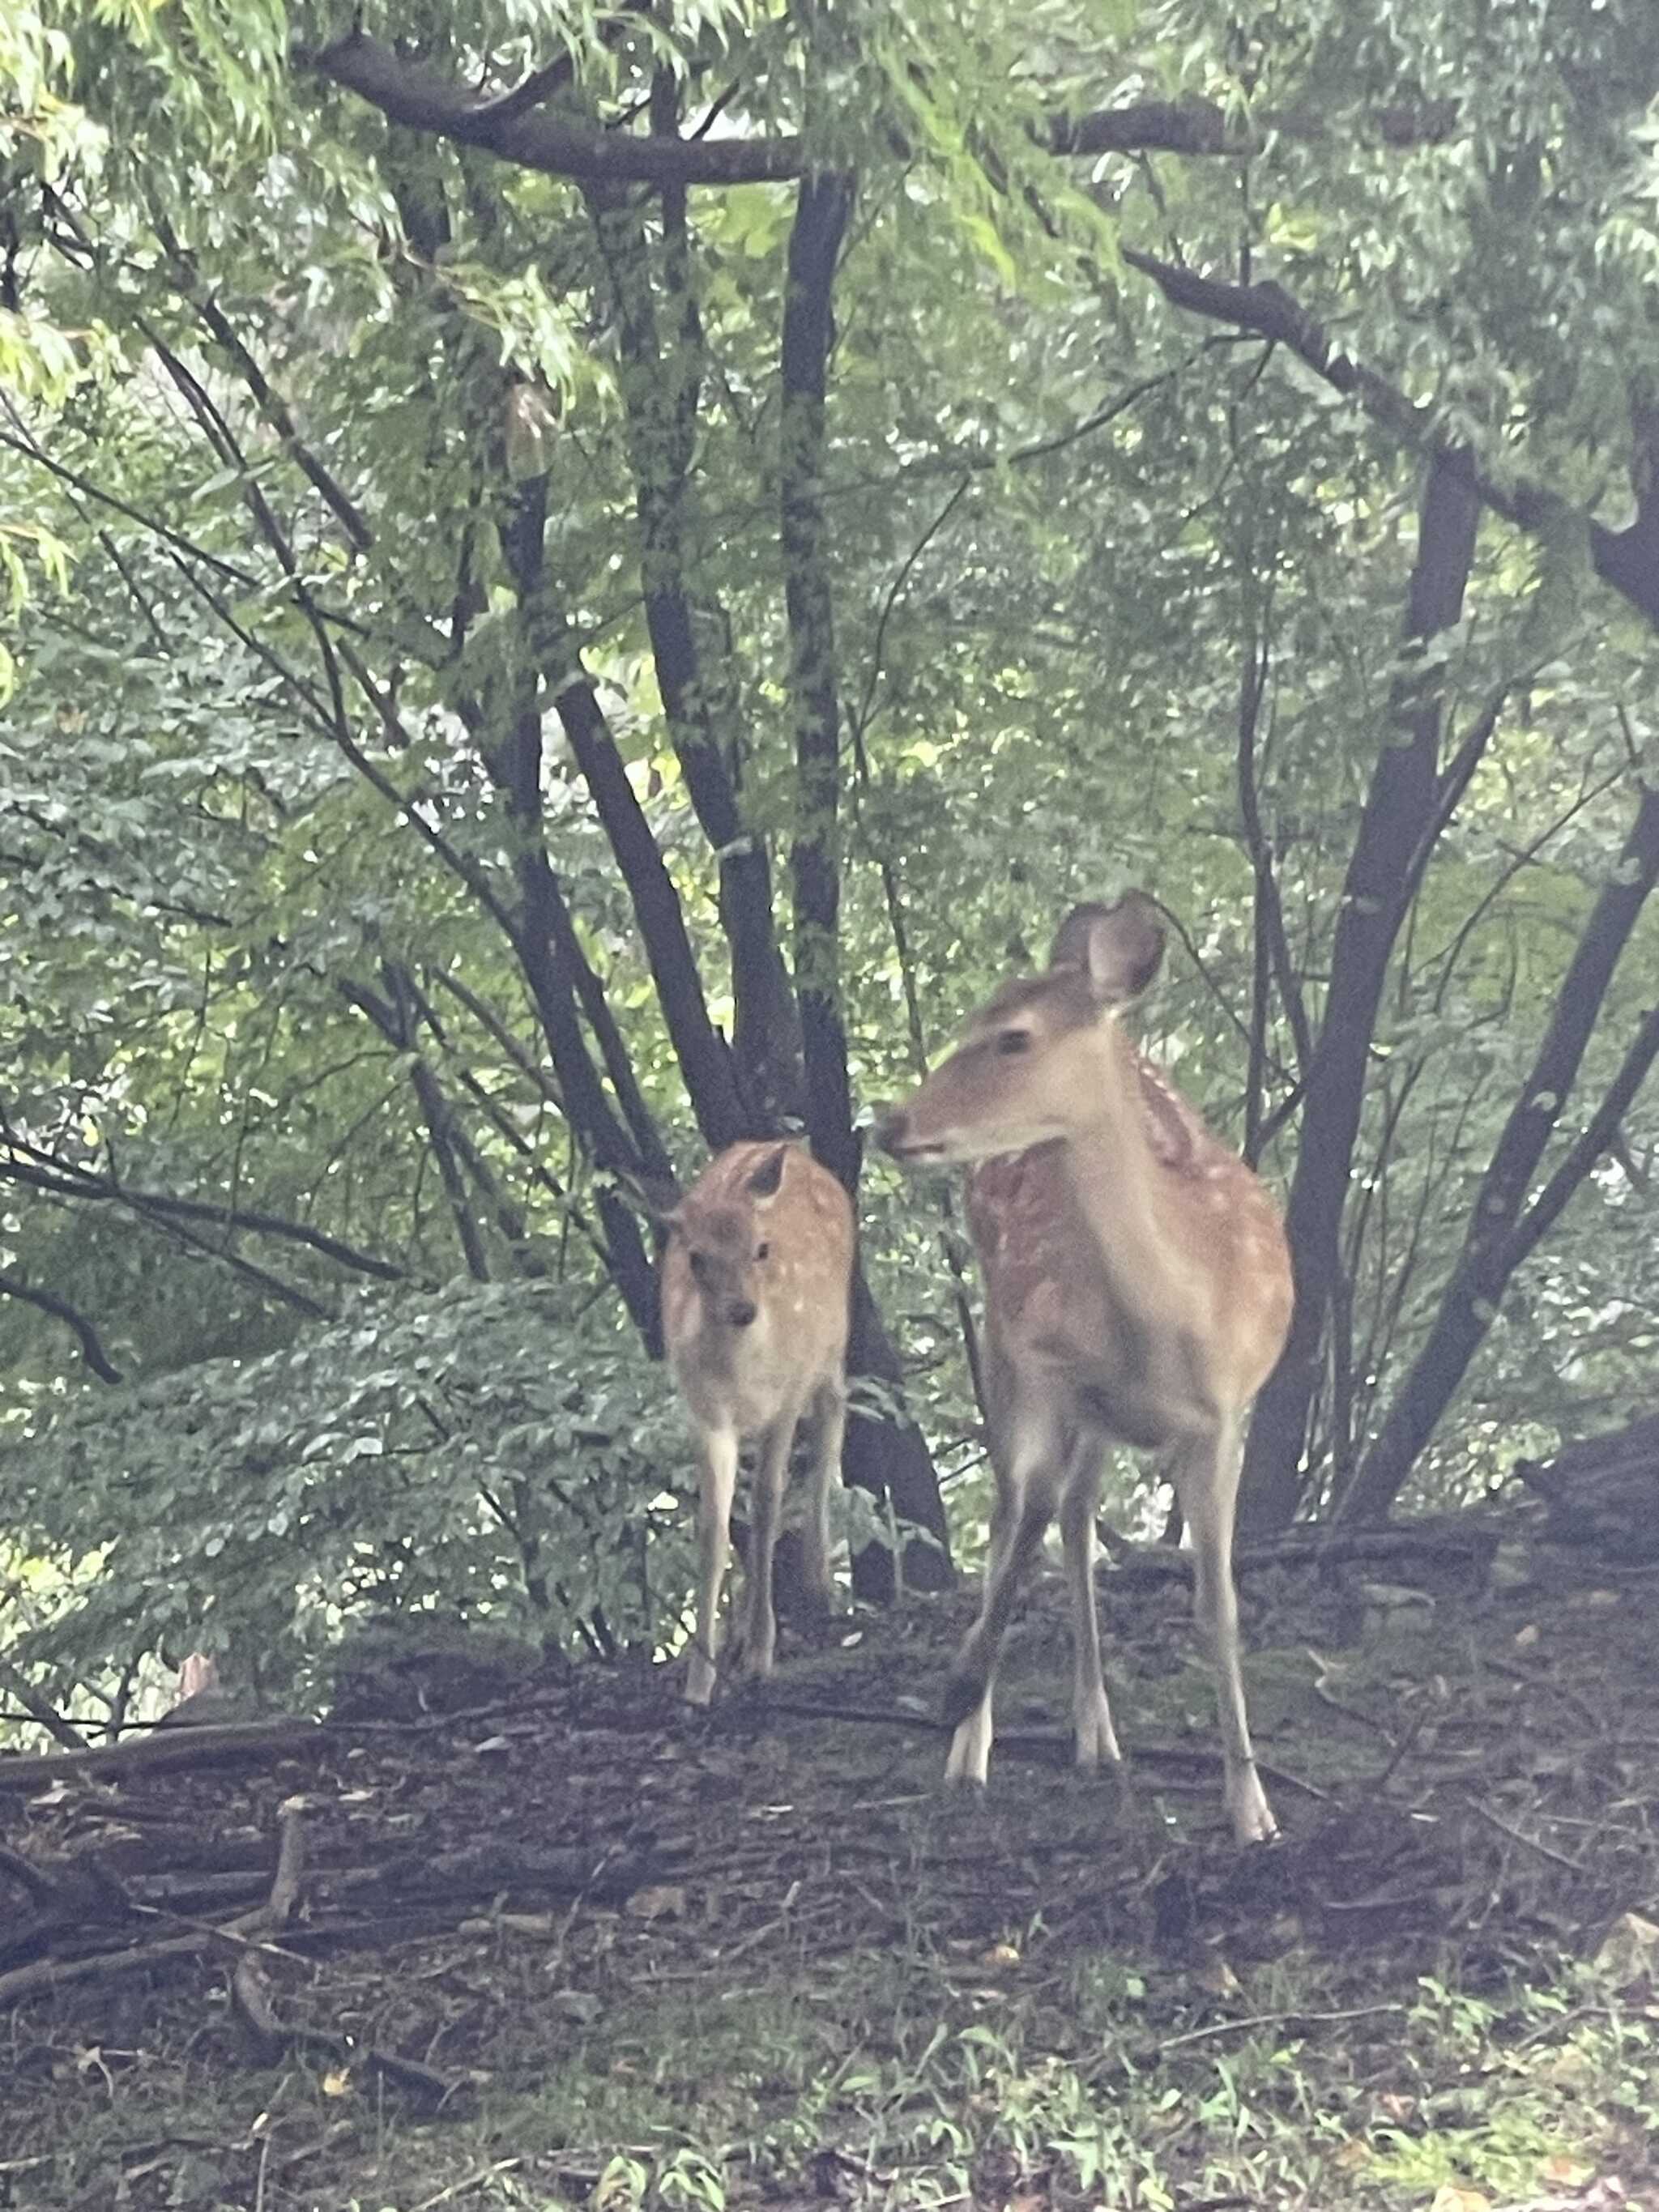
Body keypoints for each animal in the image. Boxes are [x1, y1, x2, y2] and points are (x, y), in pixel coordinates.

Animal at [660, 1139, 855, 1706]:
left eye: (762, 1248)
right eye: (696, 1257)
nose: (742, 1309)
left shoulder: (784, 1399)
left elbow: (768, 1504)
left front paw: (760, 1656)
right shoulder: (705, 1414)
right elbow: (714, 1528)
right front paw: (699, 1681)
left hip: (832, 1346)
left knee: (833, 1418)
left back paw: (819, 1580)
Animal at [874, 894, 1292, 1844]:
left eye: (1012, 1037)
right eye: (967, 1022)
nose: (889, 1124)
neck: (1173, 1318)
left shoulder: (1223, 1419)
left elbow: (1217, 1603)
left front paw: (1250, 1805)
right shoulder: (1046, 1365)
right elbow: (1019, 1523)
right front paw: (960, 1692)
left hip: (1096, 1419)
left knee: (1072, 1516)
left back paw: (1095, 1733)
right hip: (1002, 1337)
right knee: (1023, 1516)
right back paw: (980, 1746)